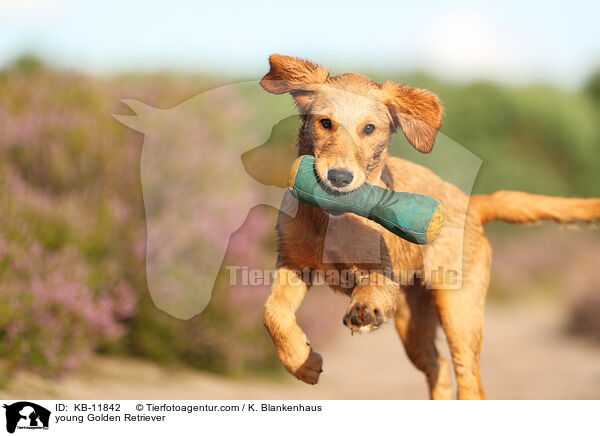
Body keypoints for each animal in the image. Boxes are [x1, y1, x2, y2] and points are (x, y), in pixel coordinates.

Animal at [258, 54, 600, 398]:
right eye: (325, 123)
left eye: (369, 128)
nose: (339, 178)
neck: (330, 219)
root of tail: (471, 203)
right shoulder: (292, 264)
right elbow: (272, 313)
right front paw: (301, 361)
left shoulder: (382, 273)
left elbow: (369, 288)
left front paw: (363, 309)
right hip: (413, 325)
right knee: (440, 368)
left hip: (459, 311)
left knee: (469, 380)